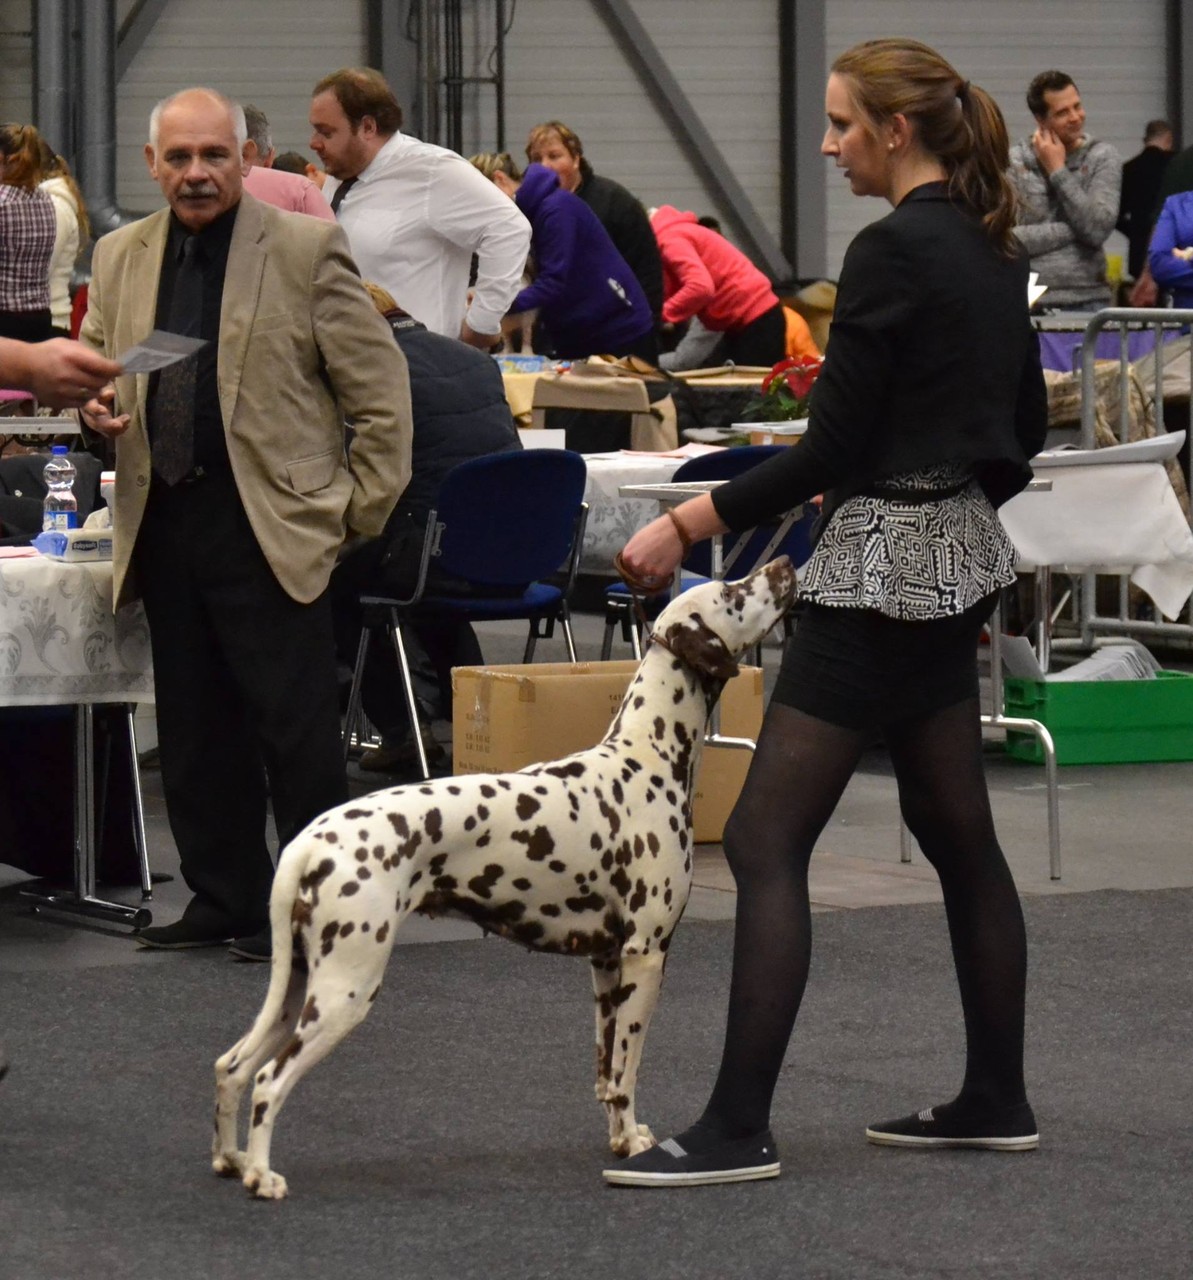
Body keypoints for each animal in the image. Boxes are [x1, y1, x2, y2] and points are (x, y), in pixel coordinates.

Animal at [213, 555, 798, 1192]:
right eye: (732, 593)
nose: (783, 564)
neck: (645, 757)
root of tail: (309, 840)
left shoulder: (606, 965)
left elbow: (606, 1074)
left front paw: (621, 1140)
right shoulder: (645, 956)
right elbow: (627, 1071)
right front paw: (634, 1145)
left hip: (299, 984)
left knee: (232, 1066)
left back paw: (231, 1160)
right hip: (346, 987)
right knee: (268, 1080)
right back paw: (261, 1176)